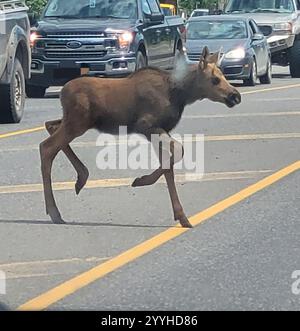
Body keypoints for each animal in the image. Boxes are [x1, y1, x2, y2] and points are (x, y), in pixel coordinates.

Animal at [39, 47, 241, 228]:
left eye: (224, 76)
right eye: (215, 79)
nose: (235, 96)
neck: (179, 94)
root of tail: (61, 92)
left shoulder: (161, 129)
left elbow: (168, 164)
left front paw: (181, 216)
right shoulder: (146, 125)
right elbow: (177, 151)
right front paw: (141, 181)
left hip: (74, 122)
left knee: (50, 125)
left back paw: (81, 177)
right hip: (77, 123)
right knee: (46, 147)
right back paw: (55, 211)